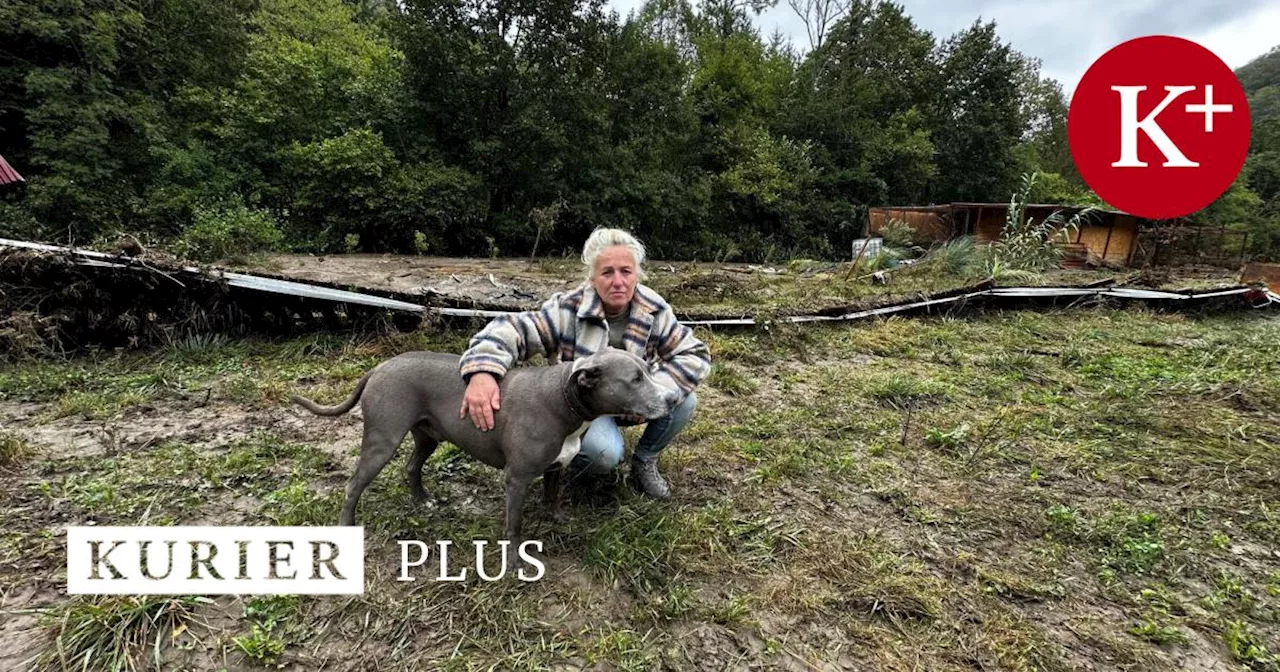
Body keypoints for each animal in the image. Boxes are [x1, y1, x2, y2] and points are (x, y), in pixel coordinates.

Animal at [290, 348, 680, 552]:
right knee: (353, 485)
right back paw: (347, 526)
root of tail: (380, 366)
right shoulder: (517, 479)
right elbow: (514, 525)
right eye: (635, 379)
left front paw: (557, 518)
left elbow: (553, 496)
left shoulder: (555, 468)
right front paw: (515, 565)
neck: (564, 399)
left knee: (411, 467)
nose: (673, 398)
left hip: (427, 437)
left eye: (649, 370)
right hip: (382, 440)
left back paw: (423, 501)